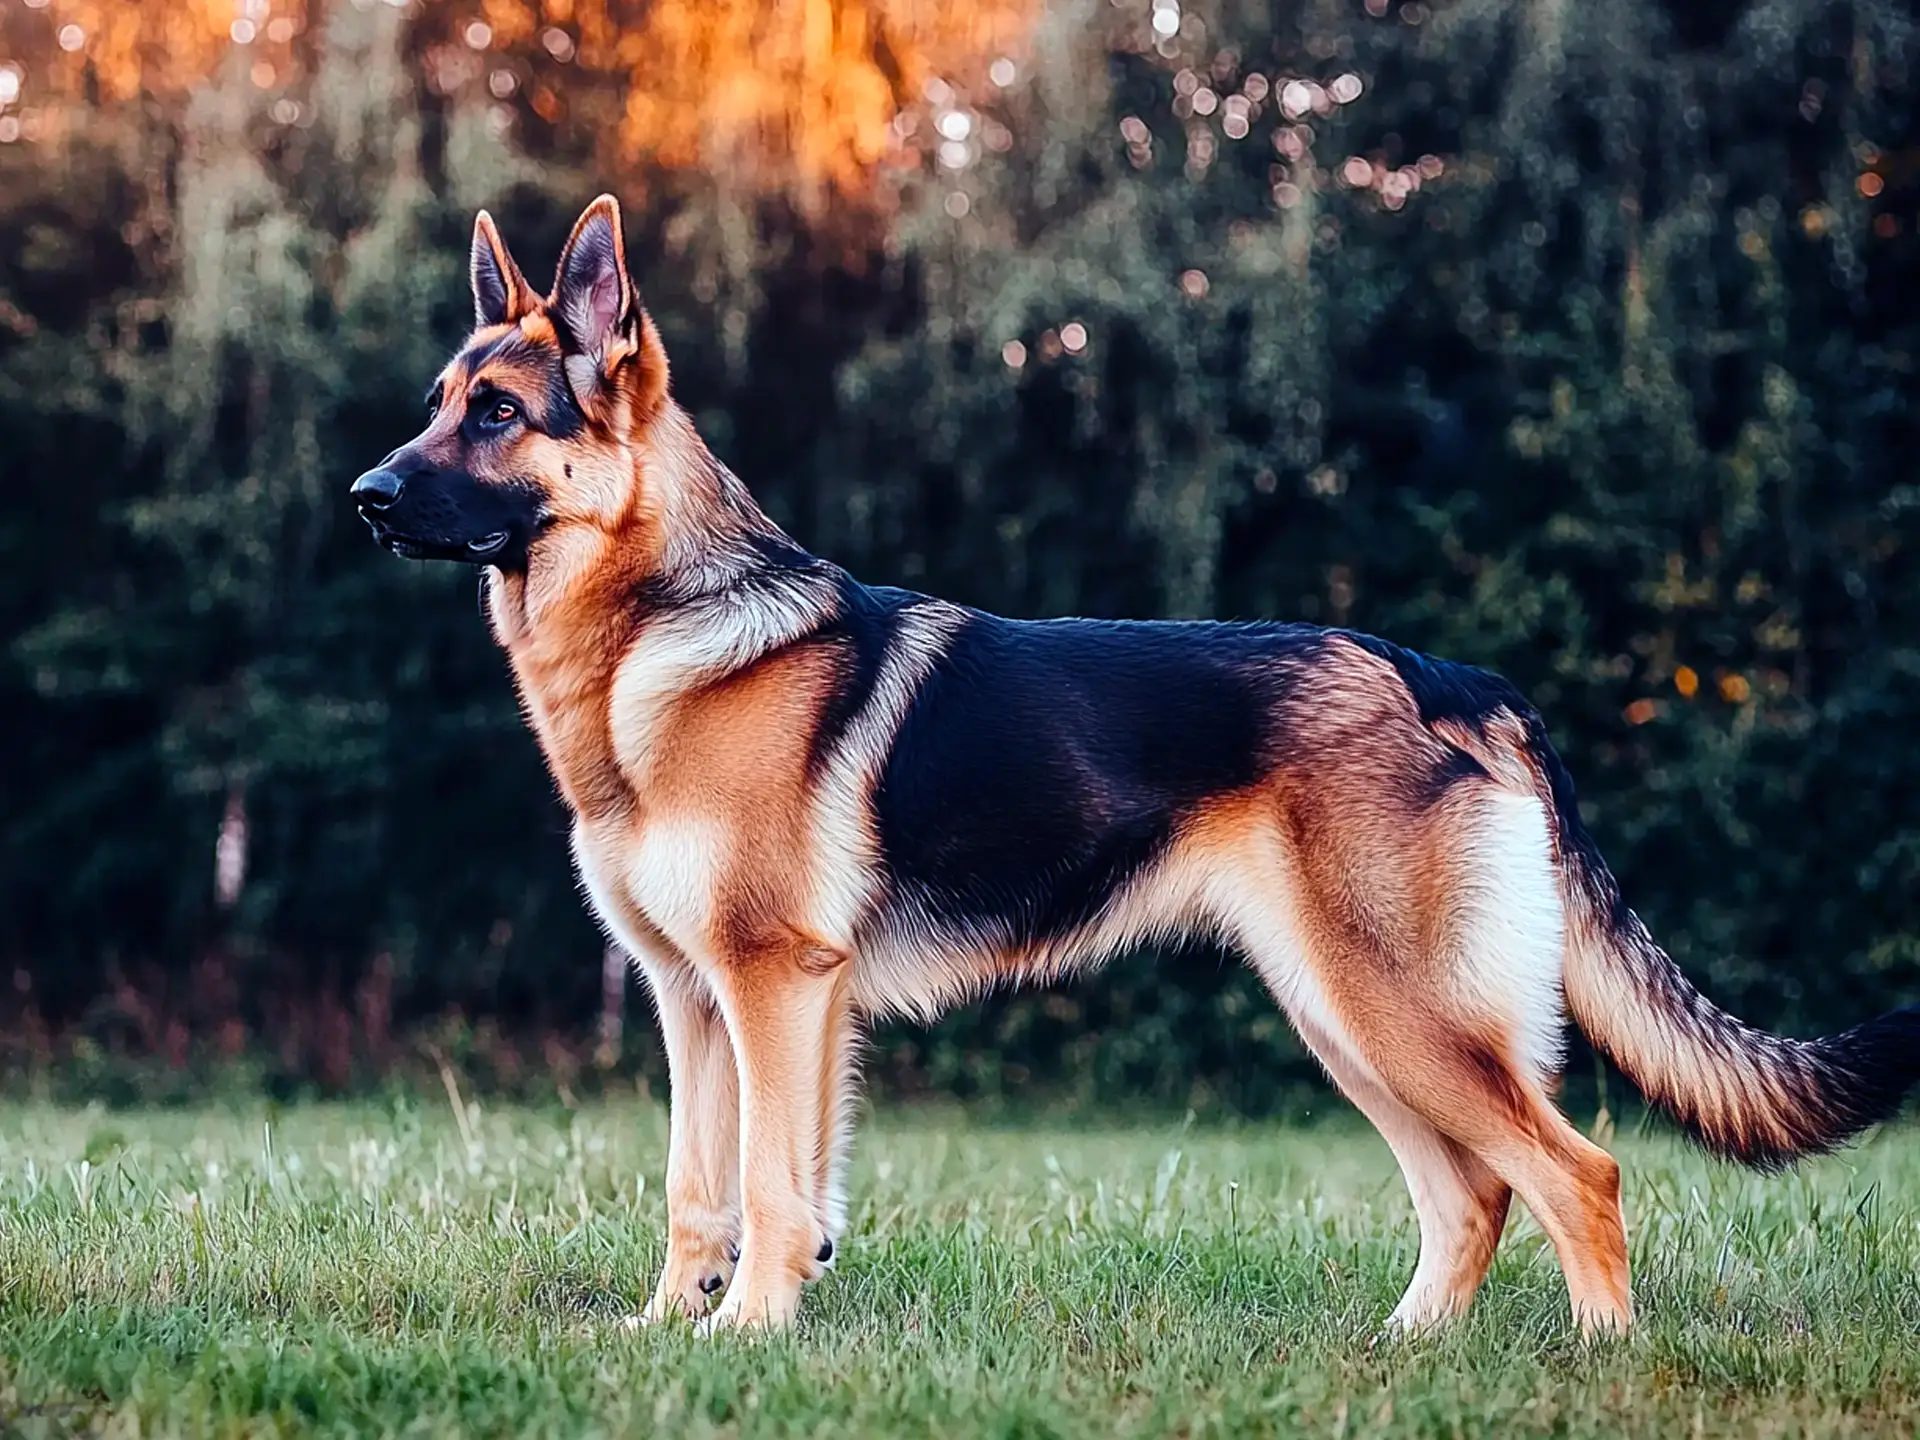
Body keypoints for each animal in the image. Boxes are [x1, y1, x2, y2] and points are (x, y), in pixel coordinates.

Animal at [353, 197, 1920, 1336]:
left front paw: (746, 1338)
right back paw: (1404, 1354)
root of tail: (1452, 679)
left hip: (1404, 1018)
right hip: (1346, 1024)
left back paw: (1596, 1363)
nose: (363, 496)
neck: (653, 635)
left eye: (499, 415)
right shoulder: (697, 1006)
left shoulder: (772, 988)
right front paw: (668, 1338)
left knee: (1577, 1173)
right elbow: (701, 1193)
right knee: (1475, 1195)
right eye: (435, 403)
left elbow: (773, 1192)